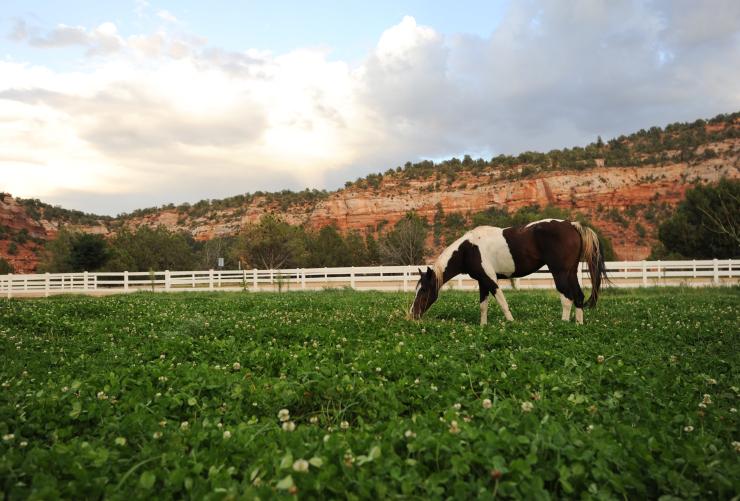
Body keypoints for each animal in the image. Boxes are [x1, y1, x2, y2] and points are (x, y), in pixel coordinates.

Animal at [409, 219, 607, 325]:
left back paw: (563, 324)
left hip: (559, 272)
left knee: (567, 298)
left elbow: (502, 302)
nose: (412, 315)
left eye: (424, 290)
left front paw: (511, 323)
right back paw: (578, 325)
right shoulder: (482, 281)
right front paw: (483, 326)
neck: (468, 249)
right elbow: (483, 306)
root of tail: (572, 225)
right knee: (579, 296)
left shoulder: (490, 280)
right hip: (571, 272)